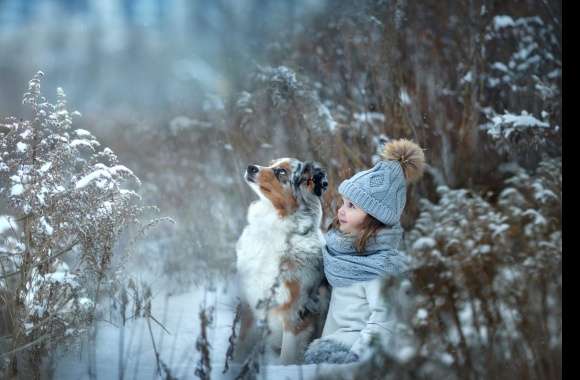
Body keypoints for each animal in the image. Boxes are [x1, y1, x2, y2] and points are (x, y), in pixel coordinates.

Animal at [233, 158, 328, 366]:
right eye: (271, 164)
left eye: (282, 172)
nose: (251, 167)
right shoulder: (250, 300)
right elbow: (240, 346)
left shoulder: (296, 312)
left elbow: (287, 358)